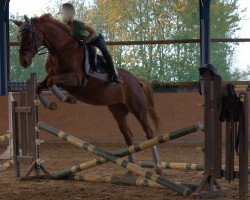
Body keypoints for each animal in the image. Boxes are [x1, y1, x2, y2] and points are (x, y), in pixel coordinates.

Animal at [13, 14, 162, 173]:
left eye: (29, 36)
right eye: (18, 36)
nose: (23, 62)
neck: (62, 50)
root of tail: (136, 81)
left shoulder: (75, 79)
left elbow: (52, 82)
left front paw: (67, 98)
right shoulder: (52, 77)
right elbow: (40, 87)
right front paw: (52, 105)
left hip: (138, 108)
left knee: (149, 133)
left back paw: (158, 167)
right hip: (118, 111)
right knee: (128, 136)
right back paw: (131, 168)